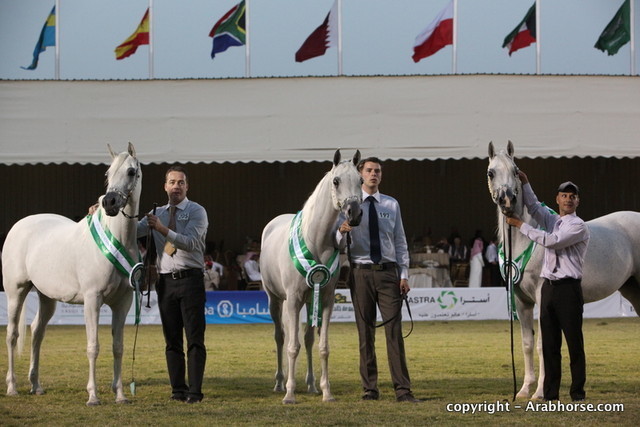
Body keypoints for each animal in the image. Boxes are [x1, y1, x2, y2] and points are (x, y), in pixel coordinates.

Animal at [3, 143, 142, 406]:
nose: (109, 202)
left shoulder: (123, 302)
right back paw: (12, 387)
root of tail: (19, 225)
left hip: (46, 297)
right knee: (12, 335)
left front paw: (120, 395)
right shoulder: (92, 300)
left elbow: (118, 347)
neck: (116, 240)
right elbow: (93, 346)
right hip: (16, 292)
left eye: (131, 172)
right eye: (108, 173)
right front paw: (93, 396)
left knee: (37, 332)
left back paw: (36, 385)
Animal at [260, 149, 363, 404]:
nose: (354, 214)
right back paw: (280, 383)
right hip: (276, 300)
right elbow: (292, 346)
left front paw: (326, 392)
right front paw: (289, 394)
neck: (314, 239)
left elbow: (322, 346)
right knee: (280, 337)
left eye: (361, 180)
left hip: (308, 301)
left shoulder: (325, 300)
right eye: (336, 181)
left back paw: (311, 385)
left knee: (307, 339)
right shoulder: (293, 300)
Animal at [487, 141, 640, 400]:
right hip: (632, 289)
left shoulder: (542, 298)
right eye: (491, 172)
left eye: (515, 170)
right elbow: (527, 343)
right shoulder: (521, 300)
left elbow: (543, 345)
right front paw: (524, 390)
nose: (507, 200)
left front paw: (540, 392)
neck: (526, 242)